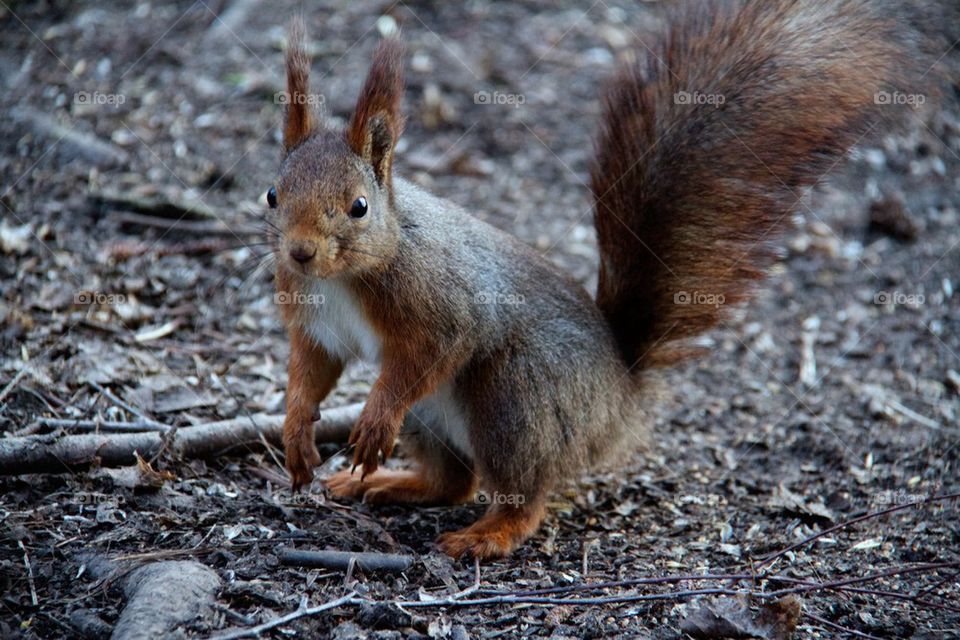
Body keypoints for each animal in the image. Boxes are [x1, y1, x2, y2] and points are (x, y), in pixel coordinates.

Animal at [272, 2, 924, 556]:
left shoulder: (443, 301)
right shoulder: (315, 320)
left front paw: (375, 418)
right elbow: (313, 367)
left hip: (518, 396)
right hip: (435, 420)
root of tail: (620, 394)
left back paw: (485, 533)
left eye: (359, 206)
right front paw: (296, 432)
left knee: (521, 493)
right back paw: (383, 484)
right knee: (453, 482)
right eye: (273, 194)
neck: (349, 274)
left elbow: (431, 352)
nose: (300, 253)